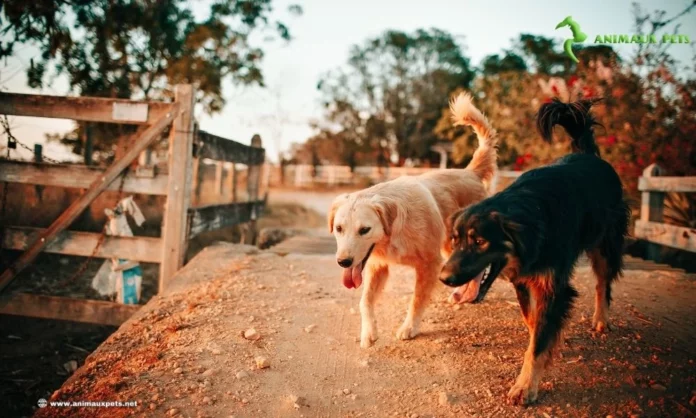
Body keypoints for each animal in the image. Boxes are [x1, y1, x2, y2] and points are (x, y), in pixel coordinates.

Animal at [440, 99, 632, 404]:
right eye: (455, 240)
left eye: (480, 242)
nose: (444, 279)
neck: (530, 219)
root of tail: (589, 155)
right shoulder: (523, 279)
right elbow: (534, 324)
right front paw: (547, 345)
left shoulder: (553, 286)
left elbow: (540, 339)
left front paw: (525, 385)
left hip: (605, 244)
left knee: (603, 283)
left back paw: (601, 319)